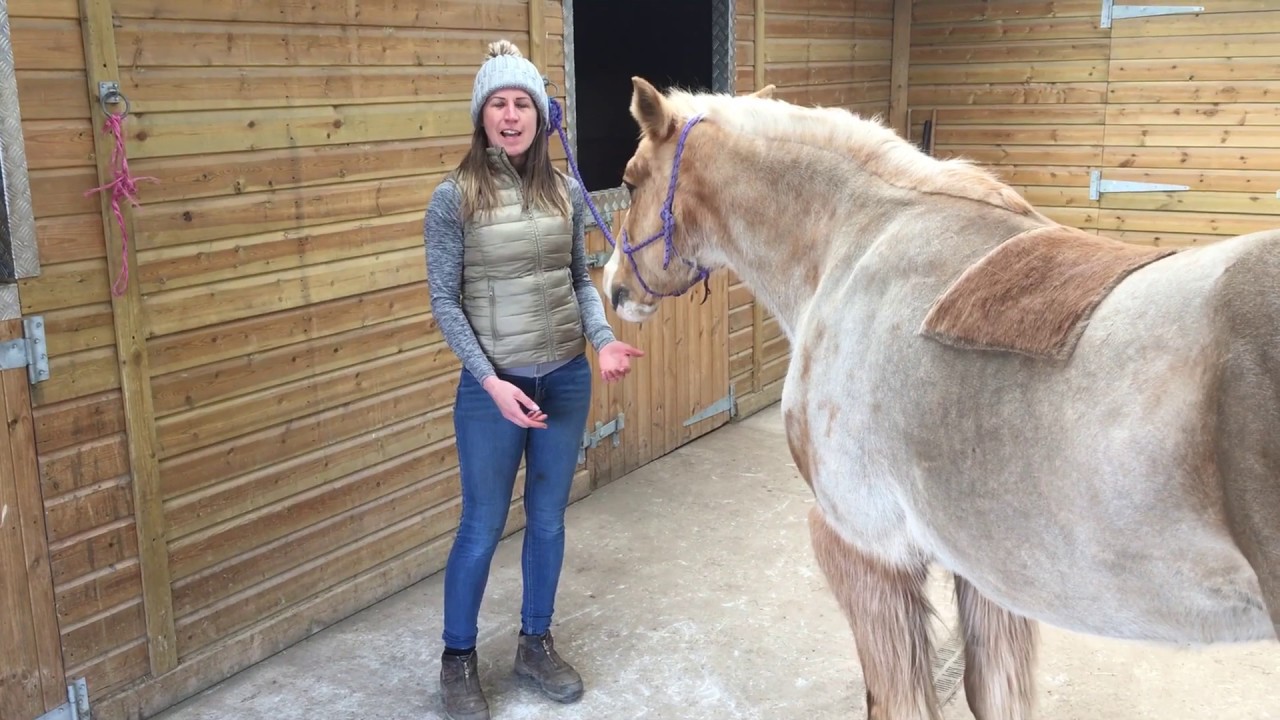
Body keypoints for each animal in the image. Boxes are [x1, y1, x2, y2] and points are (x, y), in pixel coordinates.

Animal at [600, 76, 1280, 719]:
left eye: (629, 183)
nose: (613, 290)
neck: (858, 241)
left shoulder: (866, 549)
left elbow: (897, 701)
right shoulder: (986, 569)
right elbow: (992, 694)